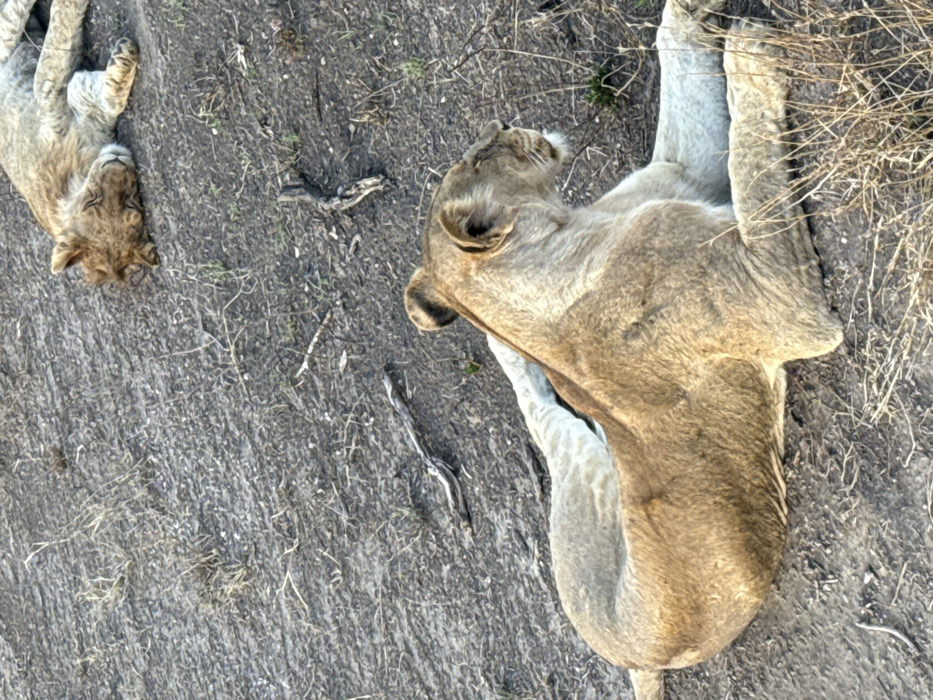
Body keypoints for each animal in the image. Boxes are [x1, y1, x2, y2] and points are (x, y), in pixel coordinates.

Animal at [0, 0, 158, 284]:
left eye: (129, 201)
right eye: (92, 201)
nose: (115, 161)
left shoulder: (79, 99)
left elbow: (108, 98)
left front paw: (122, 62)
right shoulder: (47, 92)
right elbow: (61, 33)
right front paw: (124, 55)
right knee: (11, 18)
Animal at [404, 1, 843, 698]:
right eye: (483, 153)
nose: (504, 123)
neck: (566, 233)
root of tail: (637, 657)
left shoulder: (684, 176)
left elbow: (679, 62)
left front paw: (696, 18)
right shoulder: (784, 297)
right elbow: (755, 170)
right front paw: (751, 55)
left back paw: (500, 346)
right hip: (579, 480)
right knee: (543, 419)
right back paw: (512, 359)